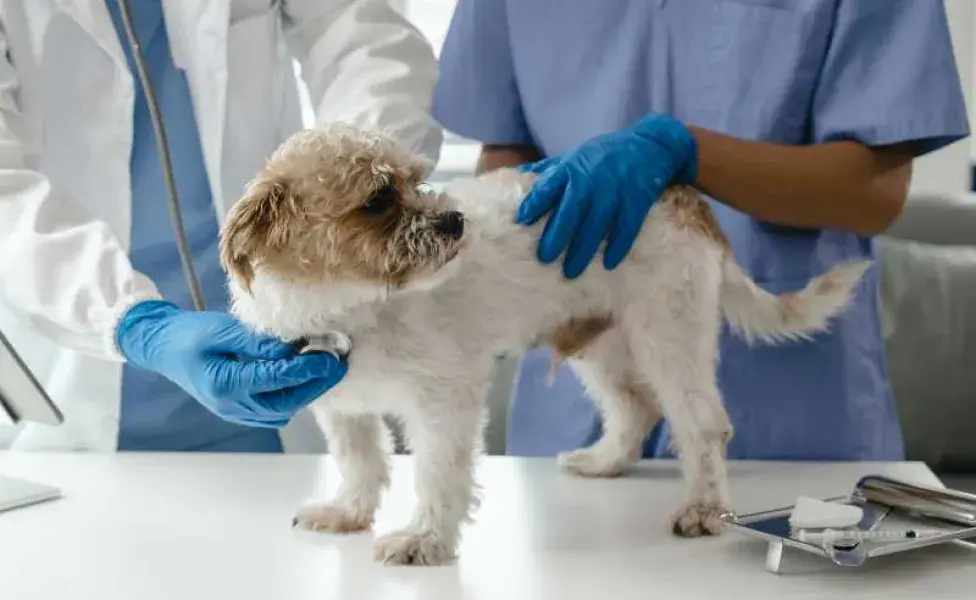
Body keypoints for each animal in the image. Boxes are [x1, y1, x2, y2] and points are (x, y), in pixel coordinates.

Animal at [219, 124, 868, 564]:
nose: (455, 223)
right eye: (378, 200)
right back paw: (605, 462)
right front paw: (348, 513)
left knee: (703, 425)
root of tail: (680, 192)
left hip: (668, 333)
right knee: (635, 407)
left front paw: (425, 539)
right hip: (600, 344)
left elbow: (437, 474)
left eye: (417, 181)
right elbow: (361, 463)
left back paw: (703, 509)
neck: (355, 306)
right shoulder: (341, 406)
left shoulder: (444, 402)